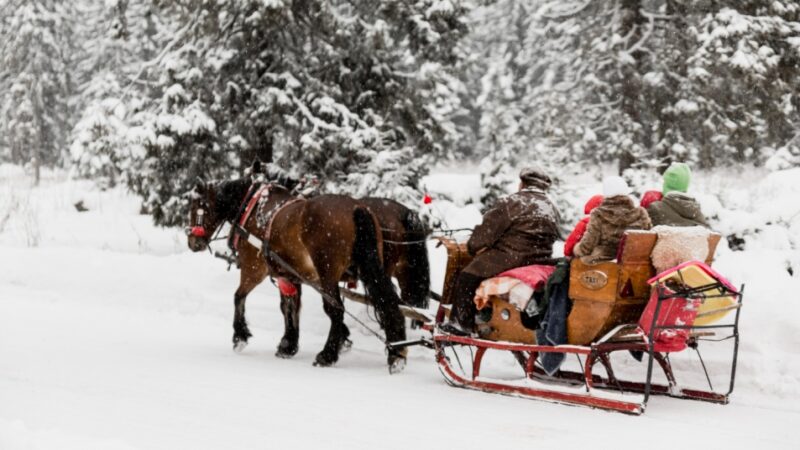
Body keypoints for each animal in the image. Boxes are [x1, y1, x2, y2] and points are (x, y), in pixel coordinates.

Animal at [187, 174, 406, 370]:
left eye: (198, 207)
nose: (192, 242)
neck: (253, 208)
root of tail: (356, 207)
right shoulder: (290, 275)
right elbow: (289, 307)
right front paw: (288, 344)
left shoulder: (254, 268)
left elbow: (239, 296)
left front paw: (240, 336)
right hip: (372, 269)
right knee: (387, 302)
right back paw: (396, 353)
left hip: (327, 274)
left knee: (336, 309)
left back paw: (327, 355)